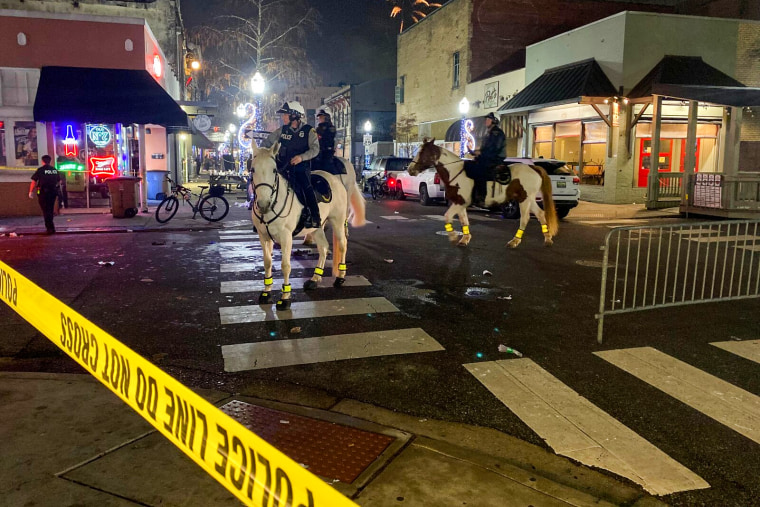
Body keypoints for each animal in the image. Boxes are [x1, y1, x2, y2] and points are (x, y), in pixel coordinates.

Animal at [251, 142, 366, 310]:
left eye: (274, 170)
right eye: (253, 169)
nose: (263, 204)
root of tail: (334, 179)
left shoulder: (286, 237)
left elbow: (285, 265)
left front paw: (285, 298)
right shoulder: (264, 237)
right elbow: (267, 263)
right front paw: (266, 292)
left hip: (337, 221)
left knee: (342, 245)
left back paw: (340, 277)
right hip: (317, 227)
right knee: (323, 247)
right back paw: (315, 279)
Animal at [410, 140, 560, 249]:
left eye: (422, 152)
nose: (410, 169)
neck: (455, 172)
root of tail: (533, 167)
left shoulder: (460, 202)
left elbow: (447, 216)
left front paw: (453, 237)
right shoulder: (460, 203)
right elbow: (464, 220)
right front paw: (464, 239)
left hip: (524, 200)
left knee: (525, 218)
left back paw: (514, 242)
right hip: (529, 199)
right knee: (541, 214)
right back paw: (547, 240)